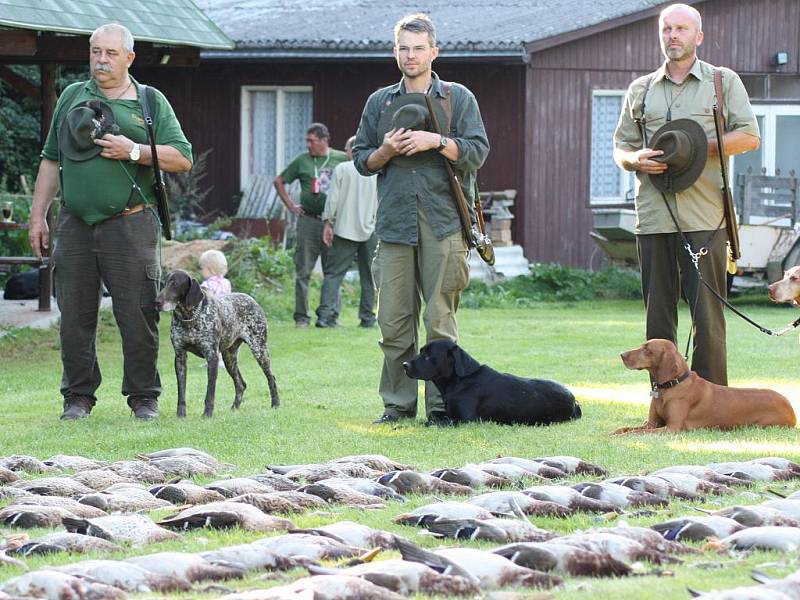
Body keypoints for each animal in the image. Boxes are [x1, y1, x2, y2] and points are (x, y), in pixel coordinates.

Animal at [155, 270, 280, 418]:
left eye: (175, 284)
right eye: (163, 284)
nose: (156, 302)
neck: (189, 318)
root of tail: (250, 298)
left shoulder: (212, 357)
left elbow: (210, 392)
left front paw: (207, 414)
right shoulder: (180, 358)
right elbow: (181, 392)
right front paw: (181, 415)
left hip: (259, 350)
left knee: (271, 378)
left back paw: (276, 404)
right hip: (229, 358)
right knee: (241, 384)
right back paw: (235, 408)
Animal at [404, 338, 580, 426]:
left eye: (428, 356)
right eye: (421, 351)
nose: (404, 365)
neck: (460, 380)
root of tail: (574, 400)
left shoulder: (468, 420)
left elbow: (435, 422)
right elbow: (434, 417)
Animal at [612, 340, 792, 434]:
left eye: (647, 350)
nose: (621, 355)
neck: (671, 385)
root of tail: (791, 408)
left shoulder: (672, 428)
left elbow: (636, 432)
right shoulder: (652, 424)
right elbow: (626, 428)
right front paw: (614, 432)